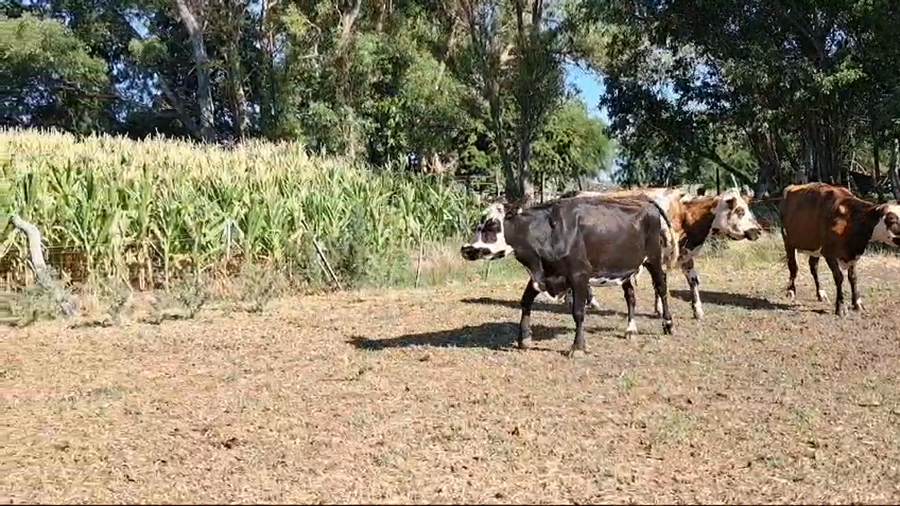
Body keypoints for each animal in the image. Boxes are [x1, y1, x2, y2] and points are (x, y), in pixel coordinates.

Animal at [460, 193, 678, 358]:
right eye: (478, 225)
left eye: (493, 225)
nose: (466, 249)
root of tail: (642, 199)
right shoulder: (543, 276)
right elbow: (526, 301)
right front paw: (524, 338)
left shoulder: (579, 276)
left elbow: (578, 312)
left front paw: (578, 347)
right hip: (624, 267)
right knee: (630, 296)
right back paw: (630, 329)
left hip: (653, 258)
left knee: (661, 287)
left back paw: (668, 324)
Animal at [552, 187, 764, 319]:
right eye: (740, 211)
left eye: (747, 208)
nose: (759, 230)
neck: (681, 213)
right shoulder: (659, 255)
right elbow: (660, 282)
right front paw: (661, 310)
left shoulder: (684, 255)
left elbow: (693, 281)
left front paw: (697, 310)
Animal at [779, 182, 900, 315]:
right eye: (892, 219)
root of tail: (792, 187)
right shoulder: (829, 253)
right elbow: (839, 277)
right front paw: (840, 307)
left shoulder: (853, 254)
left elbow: (853, 278)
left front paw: (858, 304)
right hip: (788, 240)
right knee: (793, 266)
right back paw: (791, 291)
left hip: (815, 246)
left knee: (813, 267)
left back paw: (821, 293)